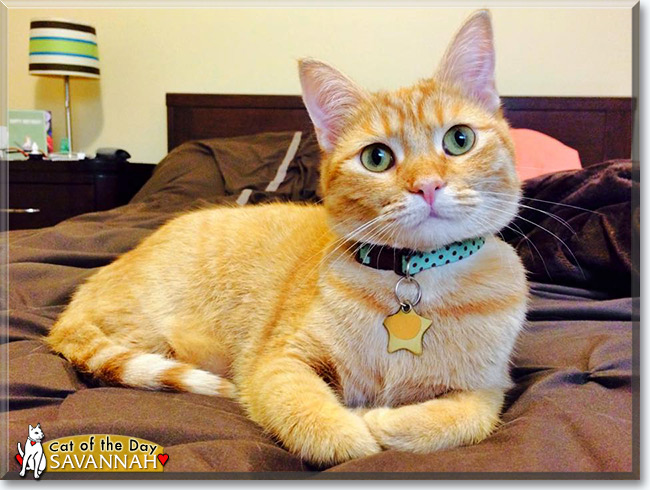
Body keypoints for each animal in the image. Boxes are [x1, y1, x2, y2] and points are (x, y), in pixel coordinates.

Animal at [46, 10, 527, 466]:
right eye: (376, 158)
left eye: (460, 139)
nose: (426, 185)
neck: (415, 277)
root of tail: (82, 294)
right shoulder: (276, 362)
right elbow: (319, 420)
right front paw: (355, 426)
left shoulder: (489, 390)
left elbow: (458, 421)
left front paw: (385, 420)